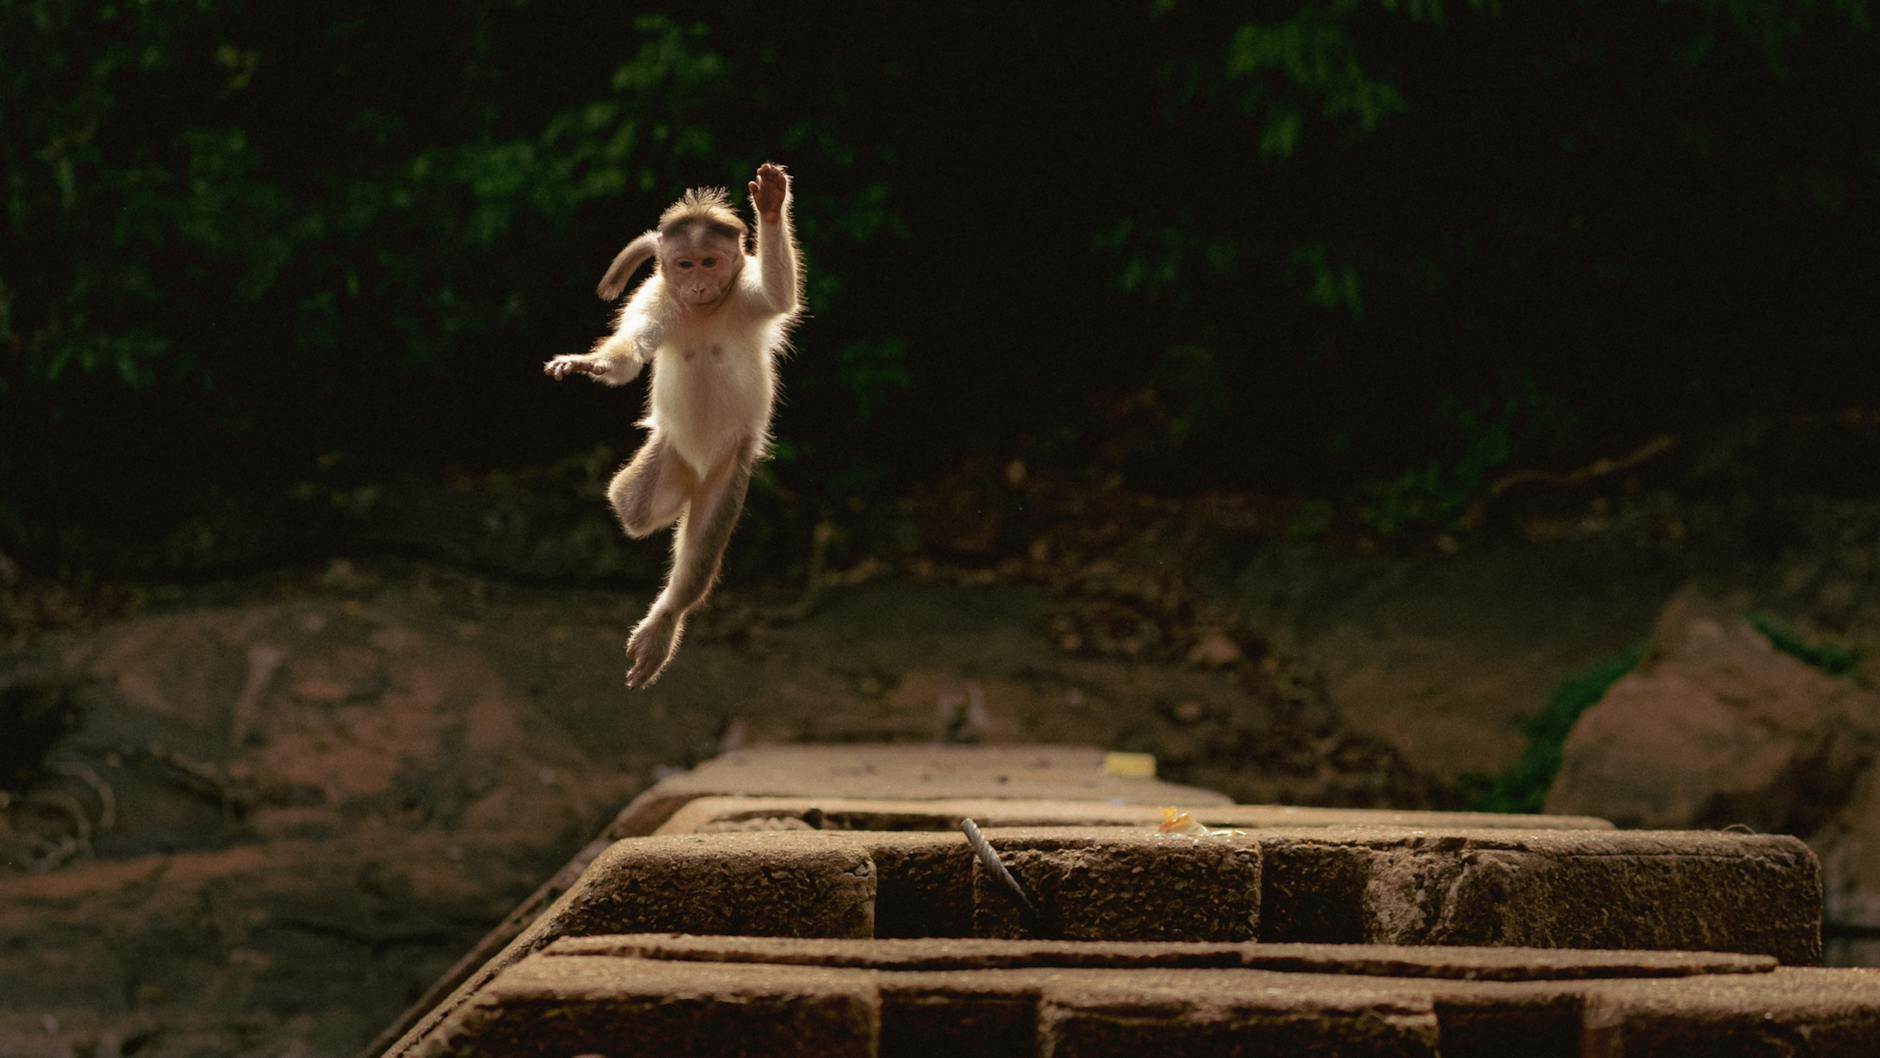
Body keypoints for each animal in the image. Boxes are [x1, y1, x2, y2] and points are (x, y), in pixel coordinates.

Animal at [545, 162, 801, 689]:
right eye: (685, 265)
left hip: (729, 473)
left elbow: (778, 293)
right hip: (668, 460)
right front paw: (593, 364)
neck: (704, 311)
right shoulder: (654, 301)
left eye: (709, 262)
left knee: (700, 545)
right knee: (632, 507)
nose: (698, 285)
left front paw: (770, 209)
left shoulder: (746, 297)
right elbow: (628, 357)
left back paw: (666, 617)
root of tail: (695, 473)